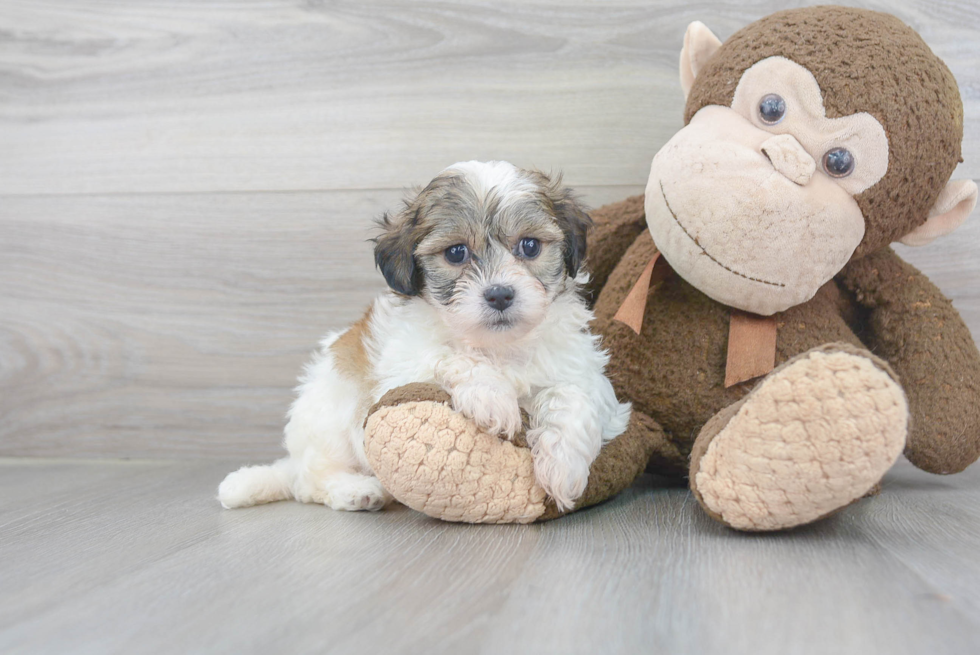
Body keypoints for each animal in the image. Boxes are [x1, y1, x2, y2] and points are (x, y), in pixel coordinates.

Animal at [218, 160, 632, 512]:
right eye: (456, 253)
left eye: (529, 246)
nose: (499, 294)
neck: (498, 347)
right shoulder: (400, 371)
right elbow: (449, 356)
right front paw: (492, 398)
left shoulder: (579, 371)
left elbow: (572, 399)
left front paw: (564, 467)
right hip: (329, 418)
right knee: (310, 481)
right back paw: (357, 491)